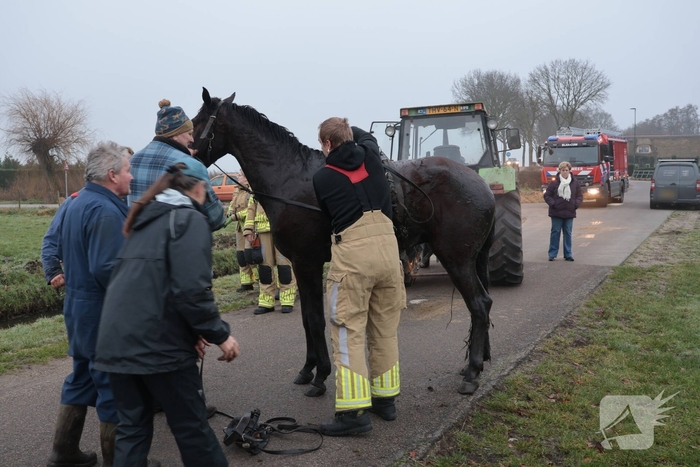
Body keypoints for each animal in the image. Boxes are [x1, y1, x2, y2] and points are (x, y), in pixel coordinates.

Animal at [192, 88, 495, 395]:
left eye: (196, 121)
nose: (185, 155)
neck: (290, 177)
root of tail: (483, 185)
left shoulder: (307, 262)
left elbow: (315, 319)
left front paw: (321, 375)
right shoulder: (302, 265)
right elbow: (306, 319)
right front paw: (308, 368)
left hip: (456, 260)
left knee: (479, 305)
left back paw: (472, 371)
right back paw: (476, 362)